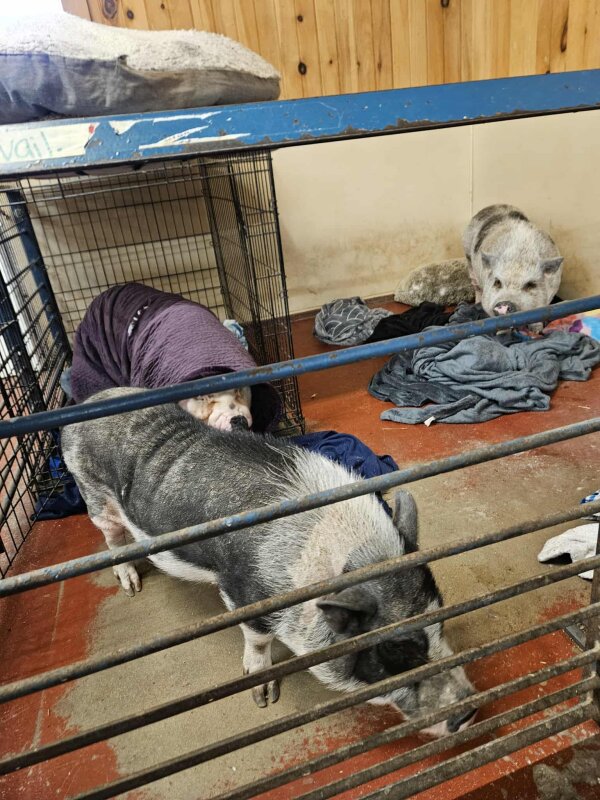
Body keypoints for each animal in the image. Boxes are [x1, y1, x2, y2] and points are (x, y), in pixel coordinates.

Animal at [61, 387, 477, 736]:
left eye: (441, 624)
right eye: (396, 651)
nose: (471, 710)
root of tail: (83, 407)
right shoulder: (244, 592)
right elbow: (257, 640)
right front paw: (264, 699)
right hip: (94, 494)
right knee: (112, 538)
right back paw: (131, 585)